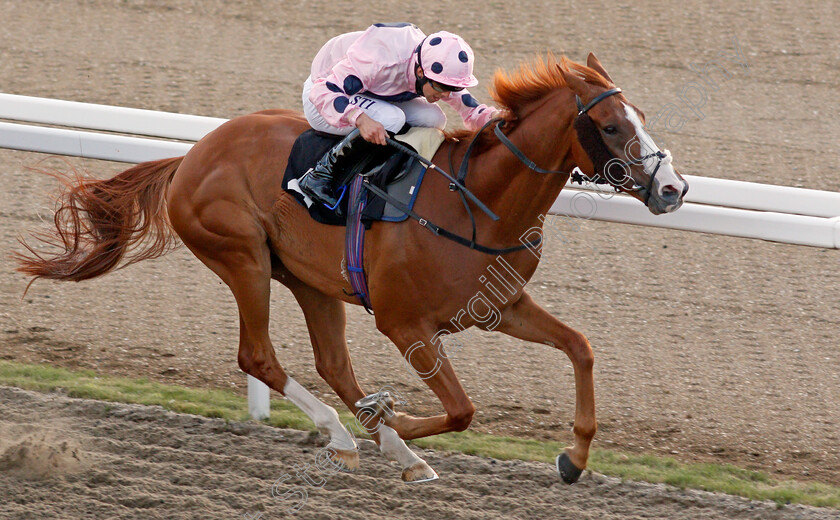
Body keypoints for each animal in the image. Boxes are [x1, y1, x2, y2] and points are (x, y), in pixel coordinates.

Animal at [16, 52, 688, 484]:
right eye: (611, 126)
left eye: (642, 119)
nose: (673, 189)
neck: (478, 204)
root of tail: (192, 156)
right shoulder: (405, 324)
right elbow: (462, 410)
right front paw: (392, 422)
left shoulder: (499, 306)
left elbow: (580, 348)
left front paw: (574, 458)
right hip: (242, 256)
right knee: (258, 355)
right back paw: (348, 435)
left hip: (311, 281)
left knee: (332, 363)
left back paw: (385, 447)